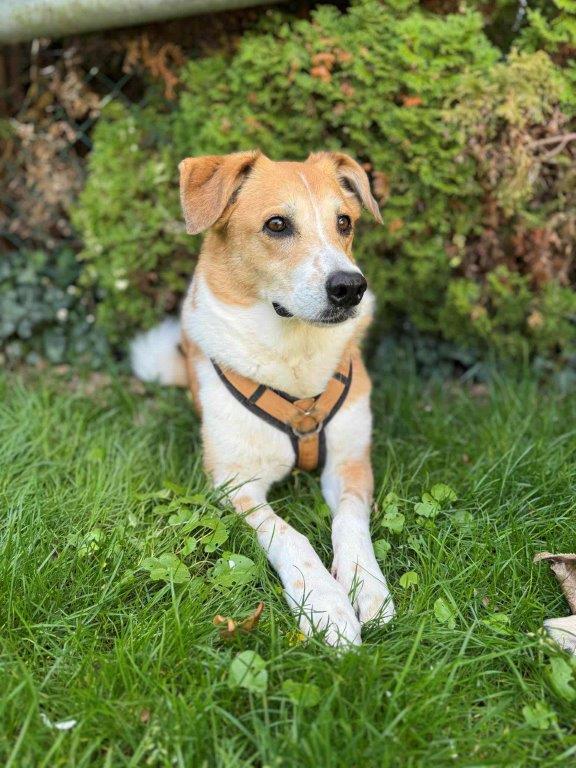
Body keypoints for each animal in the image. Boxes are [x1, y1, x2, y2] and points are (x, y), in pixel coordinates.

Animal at [131, 150, 395, 646]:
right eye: (276, 225)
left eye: (345, 222)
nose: (350, 287)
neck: (294, 359)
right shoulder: (236, 484)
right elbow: (289, 535)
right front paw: (327, 605)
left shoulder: (350, 462)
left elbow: (350, 522)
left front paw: (366, 585)